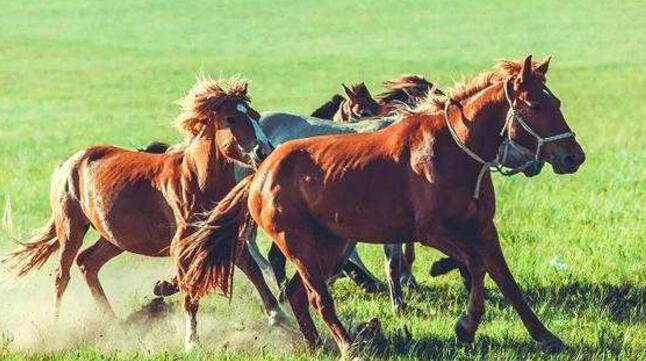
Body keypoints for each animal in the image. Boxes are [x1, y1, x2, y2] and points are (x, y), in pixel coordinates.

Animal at [1, 76, 286, 348]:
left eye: (255, 116)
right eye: (231, 119)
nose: (264, 151)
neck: (196, 179)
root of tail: (67, 164)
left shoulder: (220, 235)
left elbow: (253, 270)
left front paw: (278, 316)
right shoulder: (183, 243)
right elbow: (190, 290)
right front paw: (191, 341)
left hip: (115, 238)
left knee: (87, 263)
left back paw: (115, 323)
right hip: (71, 228)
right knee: (63, 275)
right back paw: (56, 325)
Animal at [173, 54, 588, 356]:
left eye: (556, 101)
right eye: (535, 105)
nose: (574, 156)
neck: (454, 149)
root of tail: (261, 170)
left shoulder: (484, 229)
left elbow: (505, 280)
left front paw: (544, 335)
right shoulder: (433, 232)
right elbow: (474, 266)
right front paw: (465, 326)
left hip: (332, 243)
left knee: (297, 294)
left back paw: (317, 344)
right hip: (298, 243)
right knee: (316, 296)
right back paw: (345, 344)